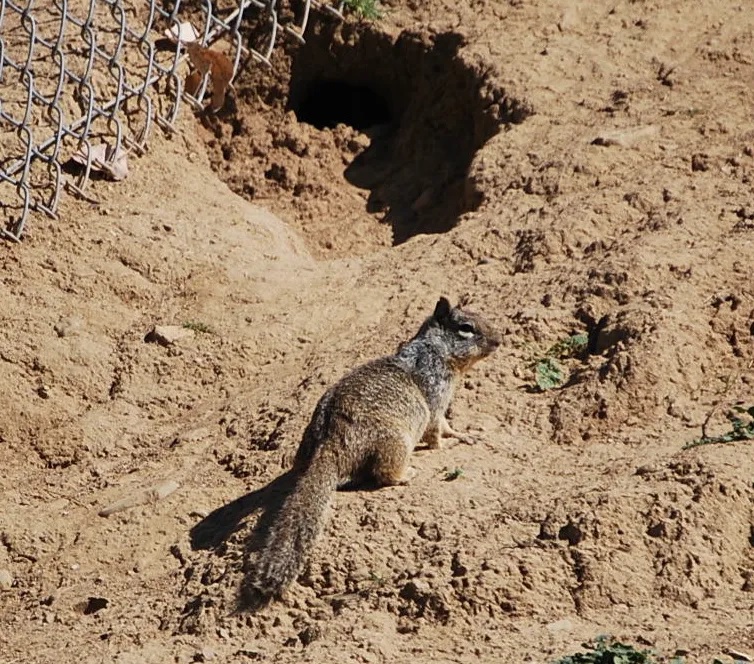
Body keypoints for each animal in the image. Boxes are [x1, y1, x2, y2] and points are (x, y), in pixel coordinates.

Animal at [249, 297, 501, 600]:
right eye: (466, 327)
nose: (500, 340)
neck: (435, 350)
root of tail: (329, 444)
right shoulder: (435, 399)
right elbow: (437, 431)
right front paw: (452, 441)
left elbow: (446, 425)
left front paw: (465, 434)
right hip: (395, 442)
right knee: (383, 475)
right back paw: (407, 475)